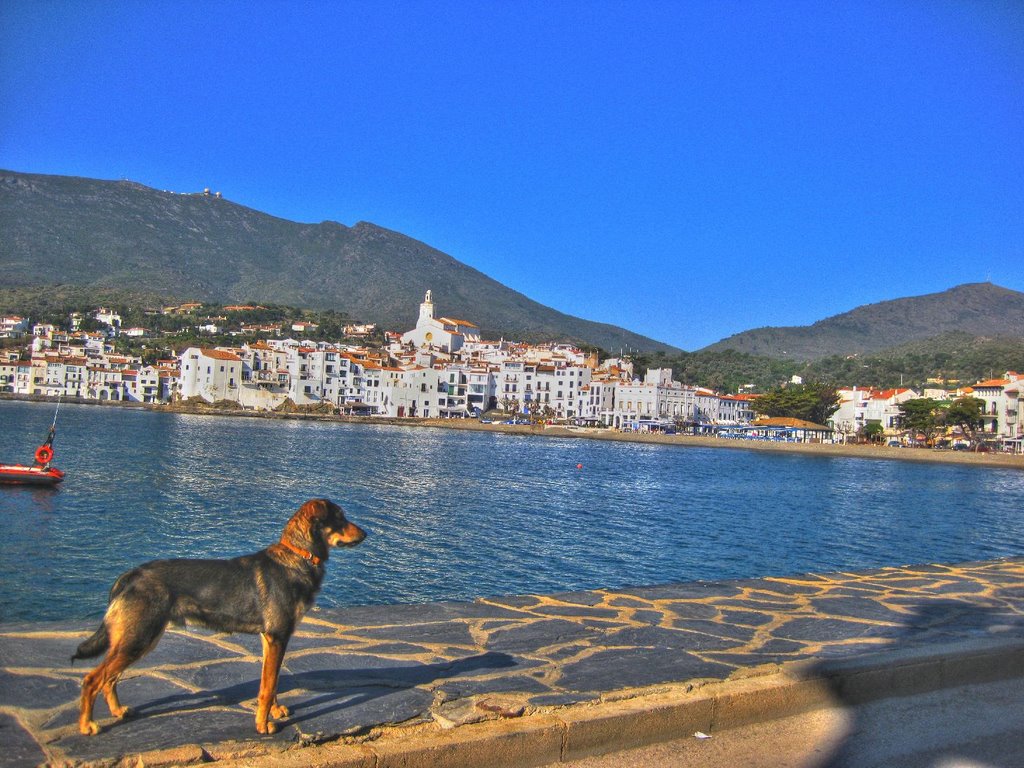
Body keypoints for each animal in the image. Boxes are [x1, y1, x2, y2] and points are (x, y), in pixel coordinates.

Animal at [73, 501, 368, 737]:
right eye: (340, 517)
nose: (366, 534)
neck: (297, 556)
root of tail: (131, 575)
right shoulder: (277, 637)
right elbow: (267, 687)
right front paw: (263, 726)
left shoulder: (270, 640)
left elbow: (270, 683)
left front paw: (274, 712)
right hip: (139, 638)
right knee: (93, 679)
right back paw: (87, 726)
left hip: (139, 639)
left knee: (109, 679)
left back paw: (118, 711)